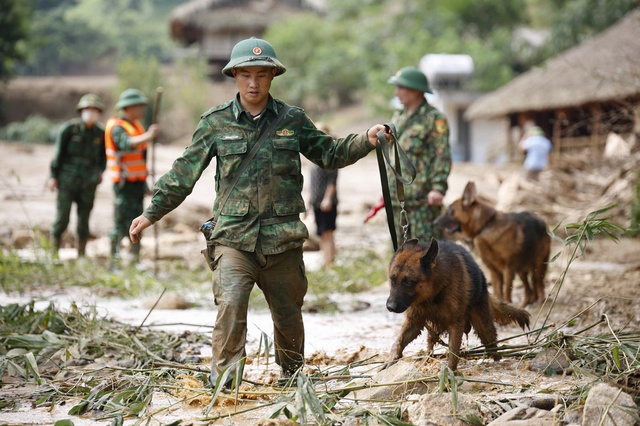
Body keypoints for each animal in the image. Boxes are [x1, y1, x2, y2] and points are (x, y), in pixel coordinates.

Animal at [384, 238, 528, 372]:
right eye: (392, 279)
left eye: (408, 282)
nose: (390, 307)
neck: (434, 293)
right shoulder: (414, 322)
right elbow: (398, 342)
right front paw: (391, 360)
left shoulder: (456, 324)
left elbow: (453, 353)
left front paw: (449, 374)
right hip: (433, 329)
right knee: (430, 347)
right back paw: (425, 360)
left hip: (484, 329)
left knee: (493, 348)